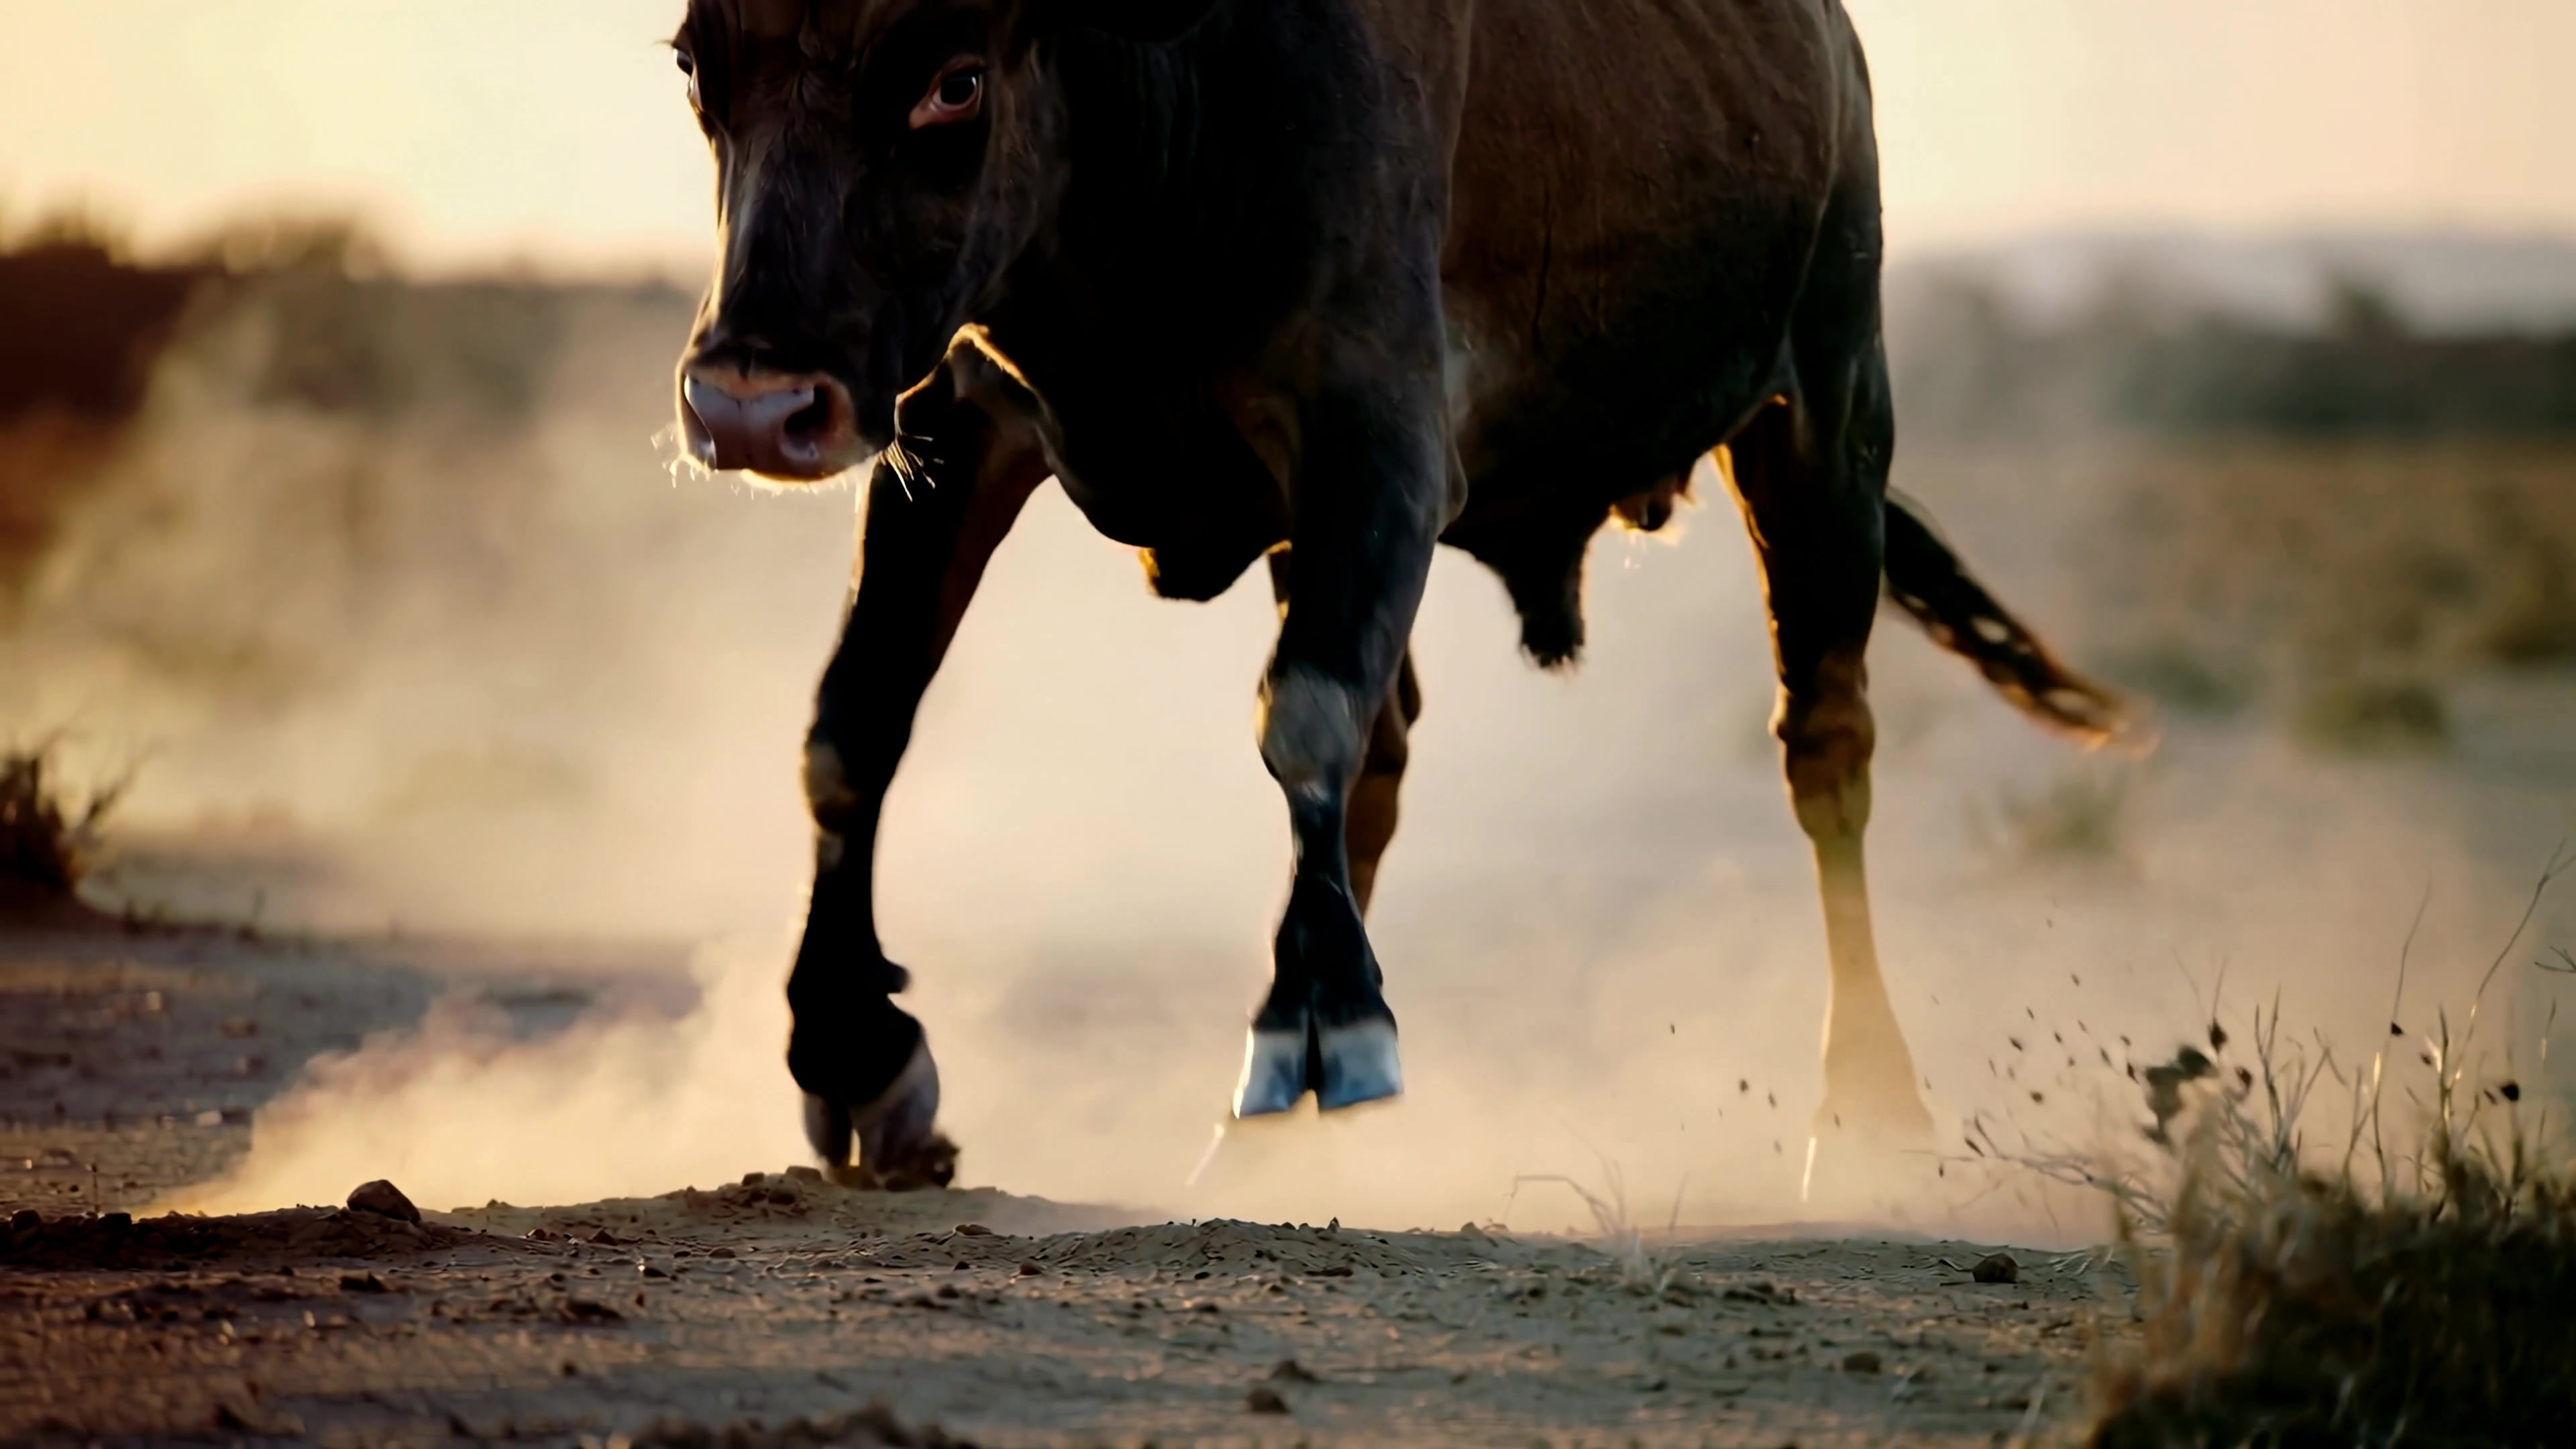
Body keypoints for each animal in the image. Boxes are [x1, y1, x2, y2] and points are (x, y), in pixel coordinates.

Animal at [666, 0, 2129, 1187]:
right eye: (695, 64)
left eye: (953, 81)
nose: (748, 404)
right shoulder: (954, 413)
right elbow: (856, 719)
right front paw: (856, 1054)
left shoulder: (1379, 436)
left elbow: (1302, 718)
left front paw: (1329, 1031)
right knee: (1384, 758)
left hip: (1824, 408)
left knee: (1825, 747)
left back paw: (1869, 1112)